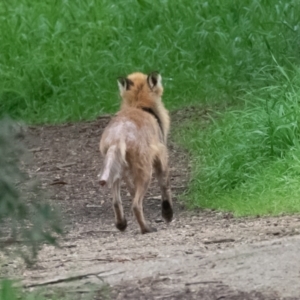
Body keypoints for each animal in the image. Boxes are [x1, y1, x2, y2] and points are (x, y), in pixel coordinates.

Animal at [98, 71, 173, 233]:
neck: (139, 106)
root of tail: (118, 136)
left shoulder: (128, 175)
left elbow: (131, 193)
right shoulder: (161, 158)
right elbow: (165, 188)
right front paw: (167, 214)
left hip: (117, 172)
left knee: (116, 202)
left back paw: (121, 224)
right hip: (146, 173)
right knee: (136, 206)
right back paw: (146, 229)